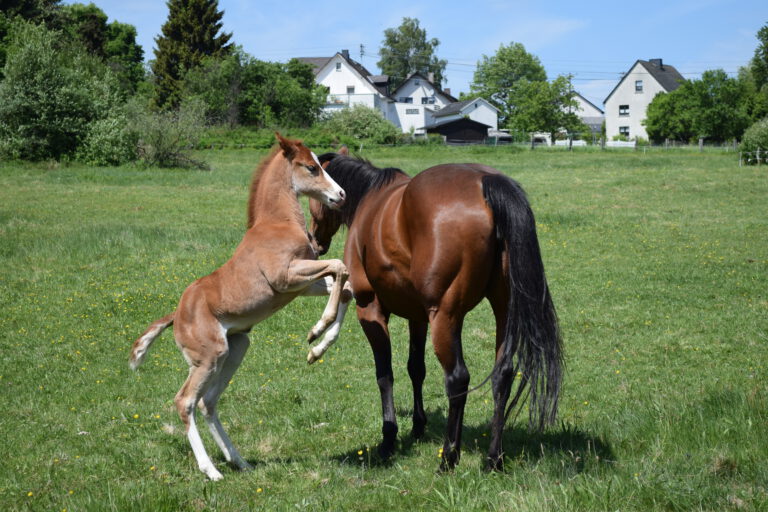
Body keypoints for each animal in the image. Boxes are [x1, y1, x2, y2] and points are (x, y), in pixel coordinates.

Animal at [129, 133, 352, 480]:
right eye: (311, 168)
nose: (340, 194)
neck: (278, 223)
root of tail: (176, 315)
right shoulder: (286, 278)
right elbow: (341, 267)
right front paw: (316, 330)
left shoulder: (302, 285)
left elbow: (346, 287)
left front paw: (317, 349)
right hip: (208, 357)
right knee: (185, 401)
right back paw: (211, 470)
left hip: (236, 348)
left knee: (207, 402)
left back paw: (239, 460)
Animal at [308, 151, 564, 472]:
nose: (313, 240)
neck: (371, 197)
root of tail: (486, 183)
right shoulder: (417, 317)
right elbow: (416, 368)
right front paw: (418, 426)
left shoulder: (371, 311)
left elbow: (385, 374)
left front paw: (389, 439)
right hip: (503, 310)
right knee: (502, 375)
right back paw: (493, 458)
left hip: (445, 317)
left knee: (457, 379)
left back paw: (448, 458)